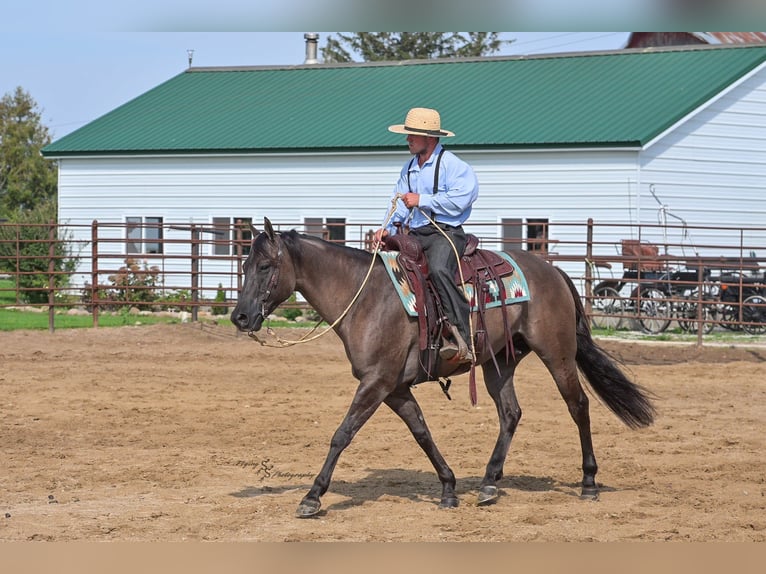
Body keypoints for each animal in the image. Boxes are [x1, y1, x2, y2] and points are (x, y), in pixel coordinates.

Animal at [231, 218, 656, 518]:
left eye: (265, 266)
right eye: (244, 265)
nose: (240, 316)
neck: (365, 296)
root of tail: (553, 272)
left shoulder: (376, 383)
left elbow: (342, 434)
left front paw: (312, 496)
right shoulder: (395, 388)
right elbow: (422, 433)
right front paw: (449, 488)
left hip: (558, 354)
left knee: (578, 406)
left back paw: (588, 482)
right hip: (500, 362)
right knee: (511, 413)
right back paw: (488, 484)